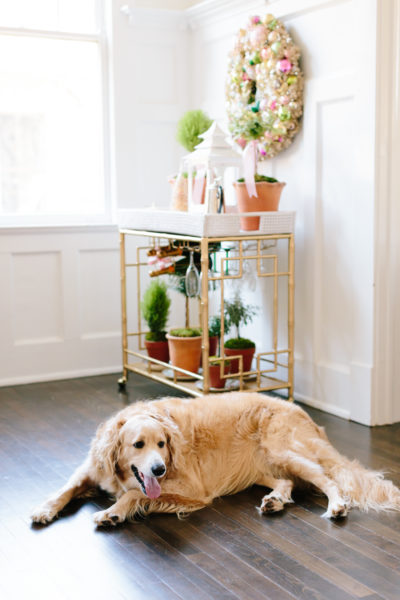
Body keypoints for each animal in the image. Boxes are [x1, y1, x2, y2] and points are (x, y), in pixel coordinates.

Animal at [31, 390, 400, 524]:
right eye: (138, 444)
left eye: (162, 443)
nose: (159, 468)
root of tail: (303, 412)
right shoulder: (92, 468)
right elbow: (66, 487)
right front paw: (44, 509)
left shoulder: (193, 491)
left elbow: (135, 494)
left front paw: (112, 512)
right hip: (263, 466)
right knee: (286, 482)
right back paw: (274, 501)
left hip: (285, 449)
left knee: (329, 479)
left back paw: (336, 506)